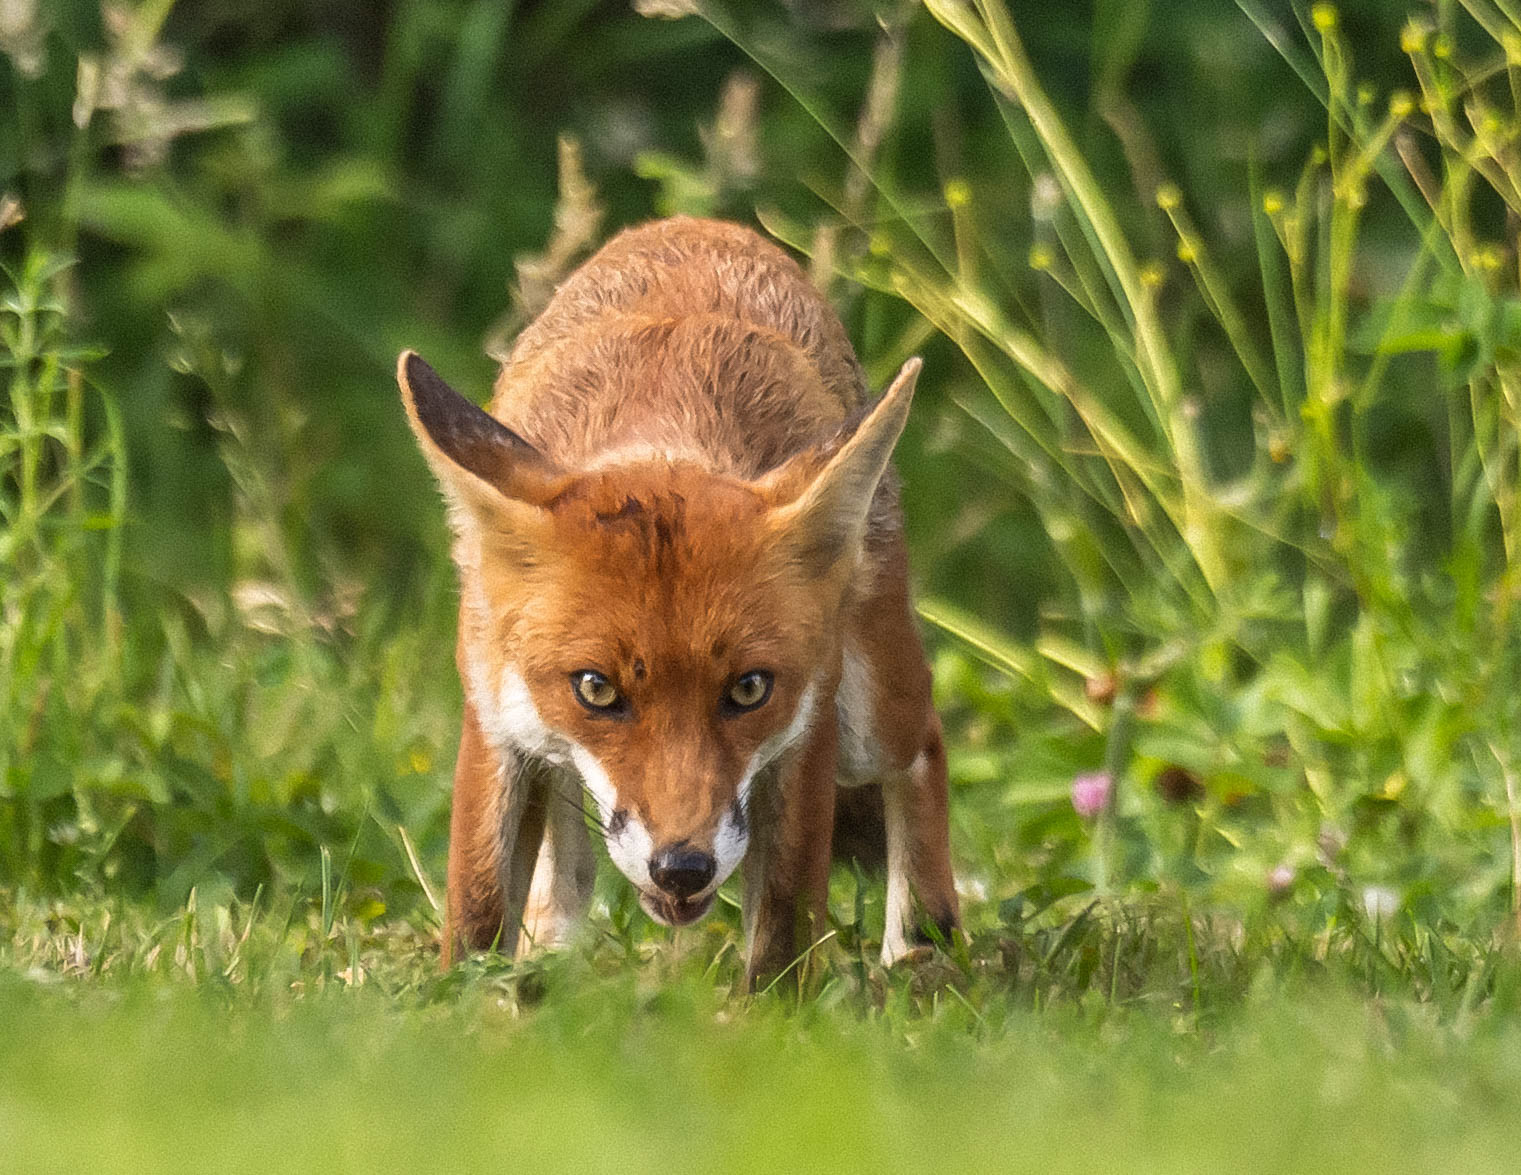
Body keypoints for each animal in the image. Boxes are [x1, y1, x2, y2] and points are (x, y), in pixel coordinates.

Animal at [398, 215, 955, 984]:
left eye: (749, 688)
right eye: (595, 688)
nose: (682, 869)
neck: (662, 423)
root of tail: (697, 224)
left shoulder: (807, 723)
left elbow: (782, 918)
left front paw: (771, 1010)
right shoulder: (494, 718)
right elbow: (478, 903)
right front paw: (470, 994)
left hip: (870, 717)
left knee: (925, 739)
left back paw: (923, 946)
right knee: (565, 866)